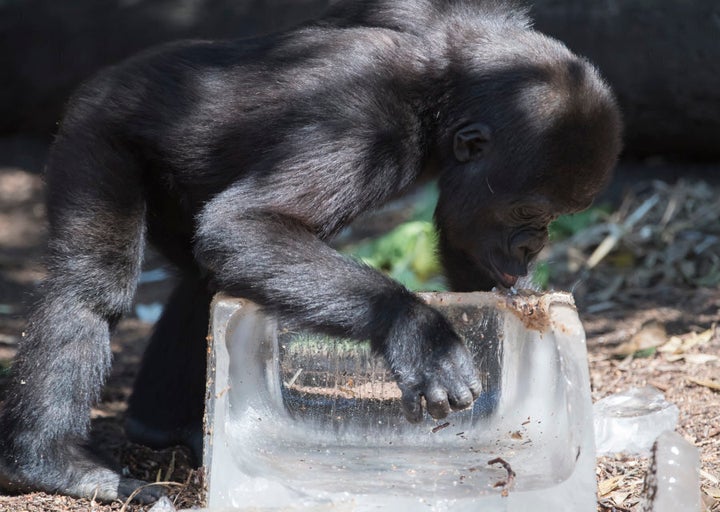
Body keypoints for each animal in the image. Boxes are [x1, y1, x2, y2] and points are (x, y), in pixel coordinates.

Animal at [0, 0, 620, 502]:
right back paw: (54, 464)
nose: (533, 244)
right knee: (92, 285)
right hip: (96, 132)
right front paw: (419, 332)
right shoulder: (363, 126)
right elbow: (245, 225)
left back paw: (163, 428)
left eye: (551, 219)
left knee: (207, 273)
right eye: (529, 213)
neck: (442, 88)